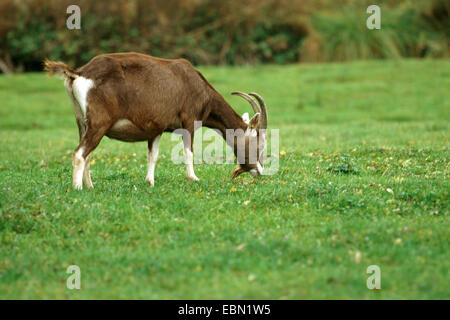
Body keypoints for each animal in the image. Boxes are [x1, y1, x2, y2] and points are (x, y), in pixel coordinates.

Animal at [43, 51, 268, 189]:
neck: (195, 82)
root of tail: (78, 73)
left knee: (87, 153)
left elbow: (153, 155)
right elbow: (188, 151)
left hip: (82, 123)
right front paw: (193, 177)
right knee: (80, 153)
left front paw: (149, 182)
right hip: (99, 124)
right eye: (260, 144)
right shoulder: (189, 121)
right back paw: (78, 189)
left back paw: (90, 186)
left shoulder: (156, 129)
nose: (259, 171)